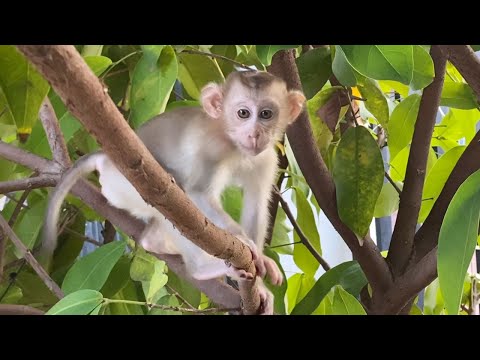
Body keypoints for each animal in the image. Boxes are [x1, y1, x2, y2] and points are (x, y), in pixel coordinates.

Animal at [46, 69, 308, 312]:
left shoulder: (266, 159)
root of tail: (106, 158)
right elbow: (198, 194)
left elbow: (257, 203)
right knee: (171, 199)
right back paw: (200, 268)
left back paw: (155, 242)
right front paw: (244, 241)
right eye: (243, 113)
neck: (232, 142)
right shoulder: (211, 147)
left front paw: (261, 277)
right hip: (122, 186)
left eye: (266, 114)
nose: (255, 134)